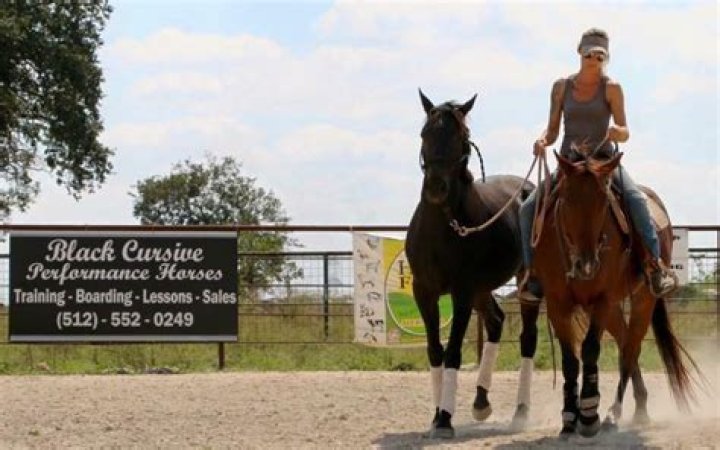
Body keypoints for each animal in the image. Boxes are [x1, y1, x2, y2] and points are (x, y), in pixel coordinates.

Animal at [405, 90, 540, 438]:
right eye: (424, 133)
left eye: (462, 138)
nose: (436, 187)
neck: (443, 226)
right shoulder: (423, 291)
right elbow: (435, 350)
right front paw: (436, 415)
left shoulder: (462, 291)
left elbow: (453, 351)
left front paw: (445, 420)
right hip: (483, 288)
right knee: (495, 321)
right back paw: (481, 403)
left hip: (525, 283)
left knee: (528, 338)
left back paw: (521, 411)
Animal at [532, 151, 701, 438]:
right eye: (566, 200)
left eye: (604, 202)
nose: (587, 264)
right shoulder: (557, 303)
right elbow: (569, 359)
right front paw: (569, 417)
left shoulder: (603, 298)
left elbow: (590, 349)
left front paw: (589, 414)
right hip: (609, 308)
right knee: (624, 343)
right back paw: (639, 406)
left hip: (642, 298)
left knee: (631, 348)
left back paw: (615, 413)